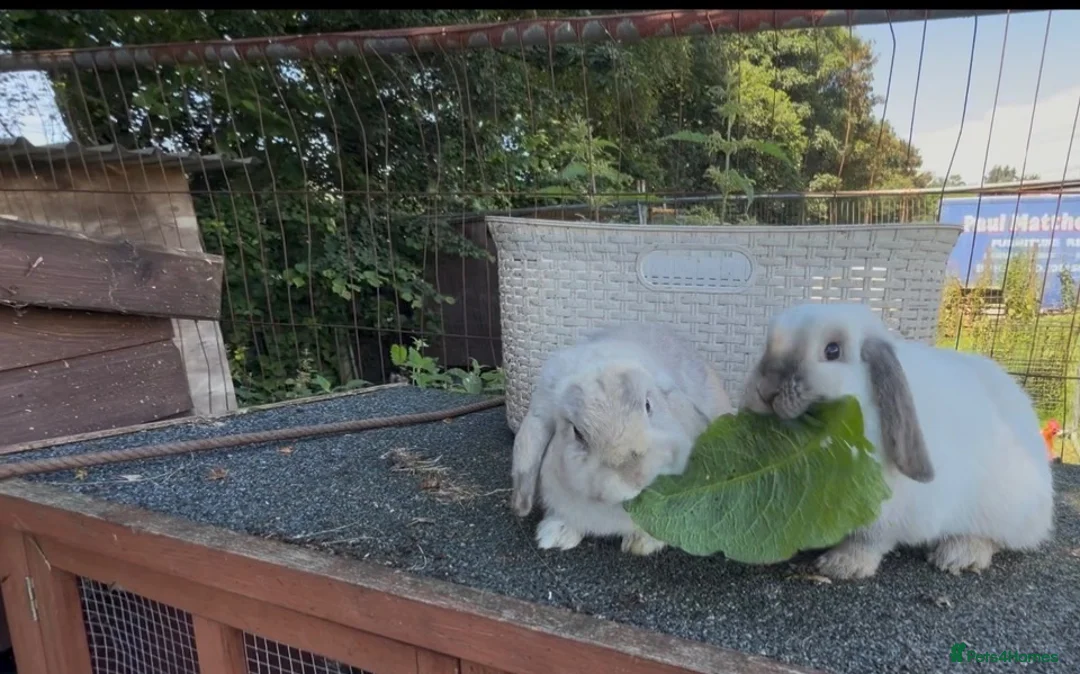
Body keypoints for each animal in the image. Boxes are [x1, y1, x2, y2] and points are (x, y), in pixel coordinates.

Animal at [740, 301, 1055, 579]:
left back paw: (959, 554)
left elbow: (870, 540)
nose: (766, 390)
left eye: (833, 350)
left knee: (996, 538)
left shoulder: (884, 510)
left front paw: (843, 565)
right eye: (767, 345)